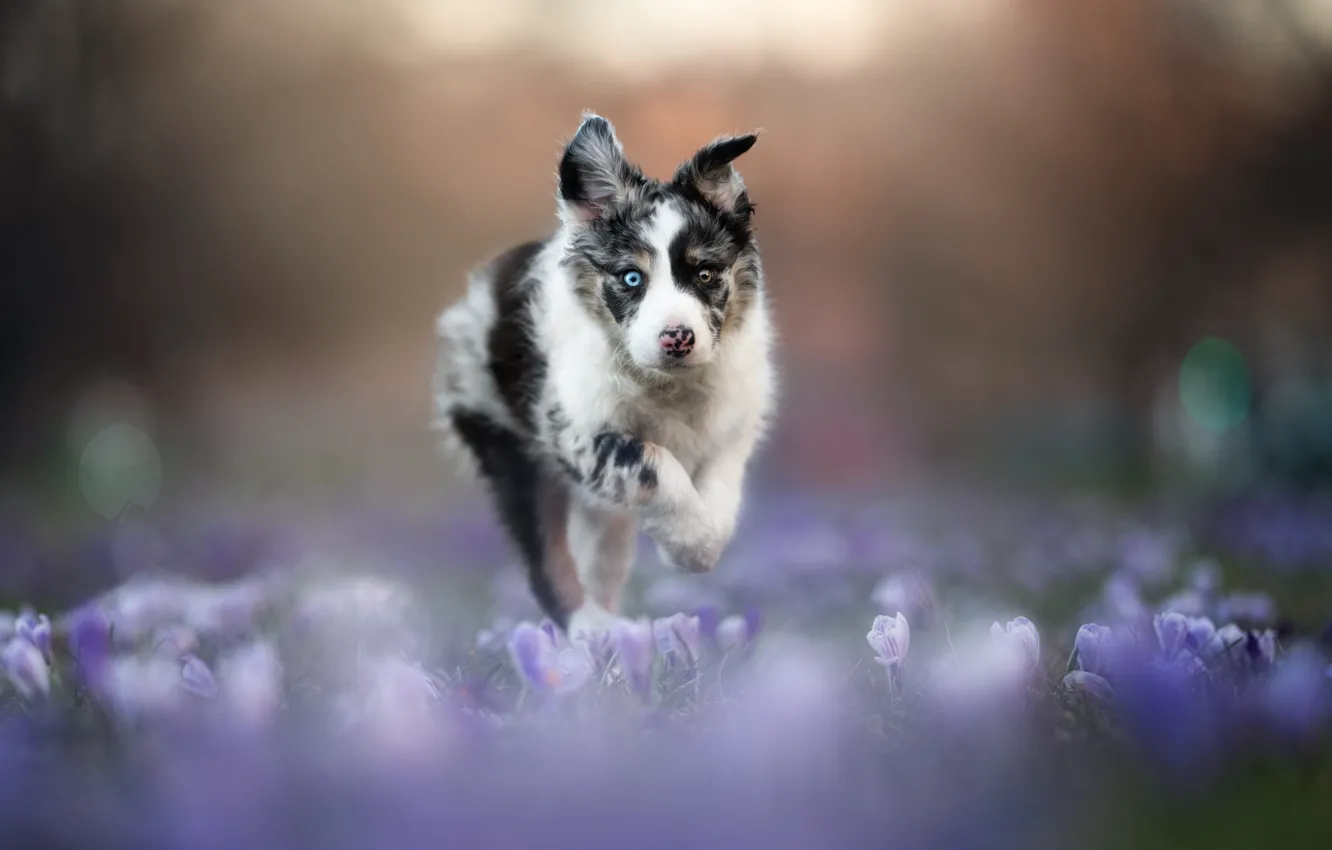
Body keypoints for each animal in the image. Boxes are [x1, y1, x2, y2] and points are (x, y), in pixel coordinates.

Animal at [431, 113, 777, 642]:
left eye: (705, 274)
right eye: (632, 278)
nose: (678, 338)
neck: (666, 383)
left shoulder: (733, 424)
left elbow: (720, 491)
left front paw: (699, 547)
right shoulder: (575, 431)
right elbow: (655, 465)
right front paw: (687, 542)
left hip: (598, 514)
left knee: (598, 559)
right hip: (511, 449)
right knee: (548, 558)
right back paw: (589, 630)